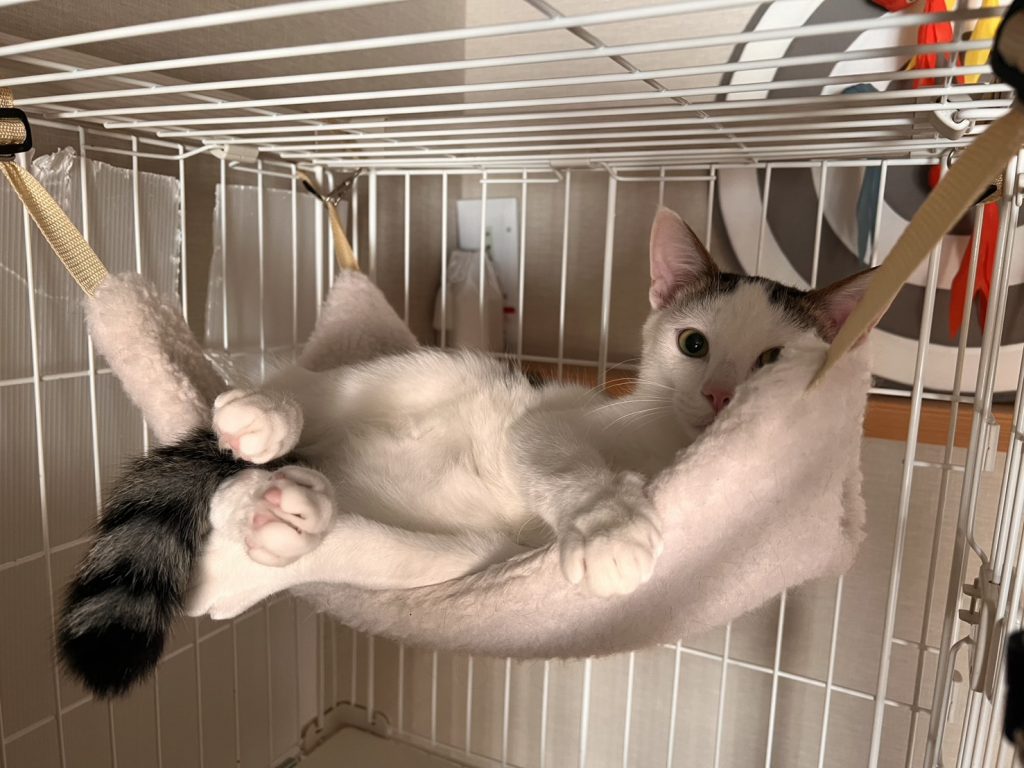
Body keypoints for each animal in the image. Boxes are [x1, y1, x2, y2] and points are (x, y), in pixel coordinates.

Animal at [57, 207, 873, 696]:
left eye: (771, 360)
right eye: (693, 344)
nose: (722, 398)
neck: (665, 453)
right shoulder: (553, 420)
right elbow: (567, 462)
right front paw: (609, 525)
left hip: (463, 550)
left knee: (320, 536)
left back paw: (267, 532)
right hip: (435, 372)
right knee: (310, 386)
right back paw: (264, 417)